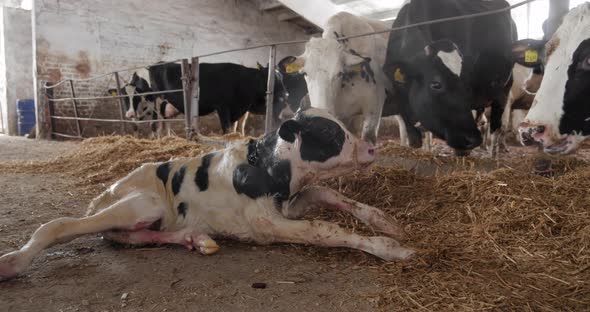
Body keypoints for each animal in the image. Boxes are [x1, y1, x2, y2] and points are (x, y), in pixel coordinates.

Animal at [0, 108, 416, 280]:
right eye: (330, 133)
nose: (372, 148)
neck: (269, 171)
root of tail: (103, 192)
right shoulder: (267, 224)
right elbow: (326, 230)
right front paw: (393, 248)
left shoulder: (289, 205)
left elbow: (327, 192)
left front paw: (388, 223)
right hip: (142, 202)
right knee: (60, 225)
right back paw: (13, 262)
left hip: (149, 214)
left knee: (135, 236)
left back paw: (196, 238)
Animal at [384, 0, 520, 155]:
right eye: (436, 84)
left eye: (467, 83)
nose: (473, 138)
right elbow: (413, 137)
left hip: (504, 89)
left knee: (496, 127)